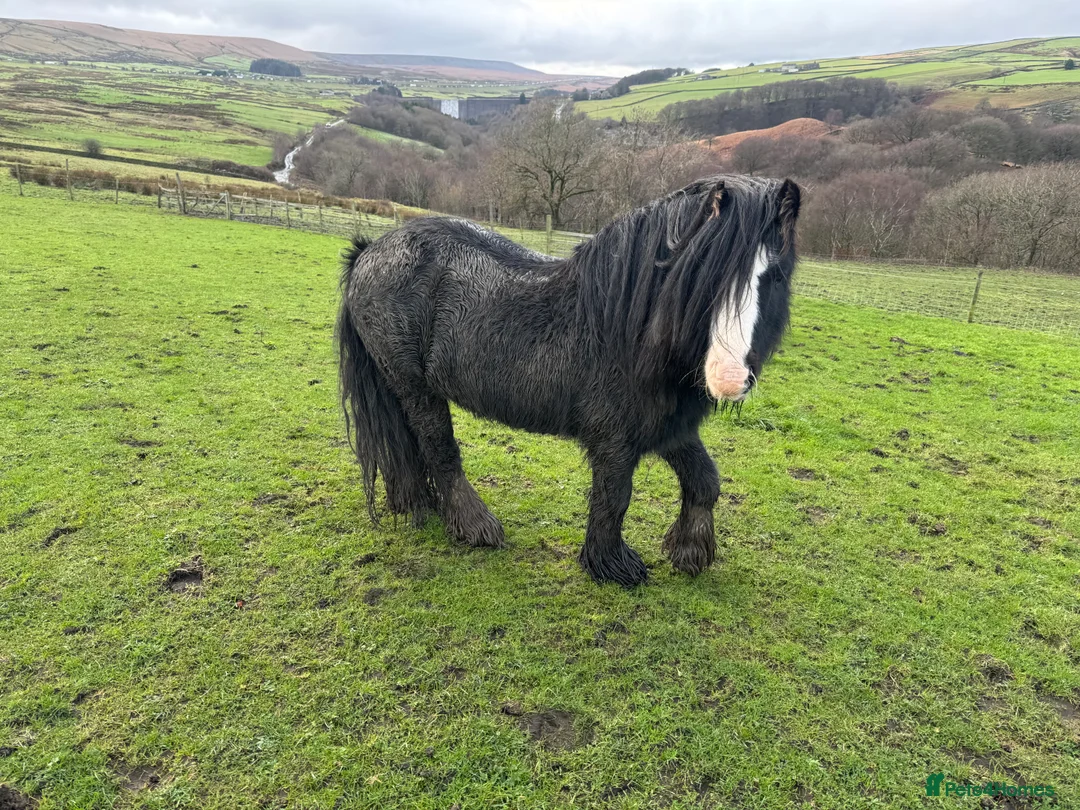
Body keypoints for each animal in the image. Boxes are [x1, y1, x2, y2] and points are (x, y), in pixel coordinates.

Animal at [336, 174, 801, 587]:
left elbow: (705, 481)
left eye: (774, 277)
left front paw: (691, 552)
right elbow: (614, 498)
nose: (730, 378)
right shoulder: (613, 439)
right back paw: (474, 527)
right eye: (706, 273)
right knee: (438, 450)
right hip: (416, 387)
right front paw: (611, 566)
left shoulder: (668, 427)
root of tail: (369, 251)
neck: (626, 327)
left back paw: (420, 505)